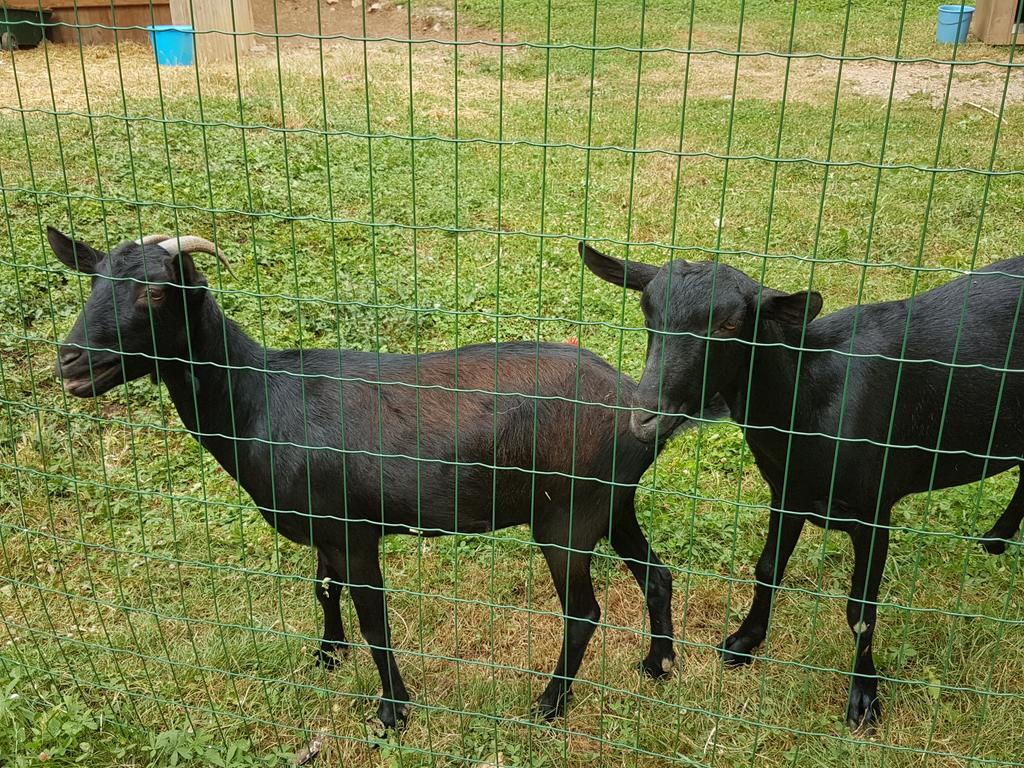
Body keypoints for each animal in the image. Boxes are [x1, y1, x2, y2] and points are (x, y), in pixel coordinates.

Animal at [581, 243, 1024, 729]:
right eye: (648, 314)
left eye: (730, 324)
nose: (644, 420)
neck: (811, 403)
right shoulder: (787, 490)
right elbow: (768, 569)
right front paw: (743, 642)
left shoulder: (873, 509)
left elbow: (860, 611)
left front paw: (864, 700)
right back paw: (996, 539)